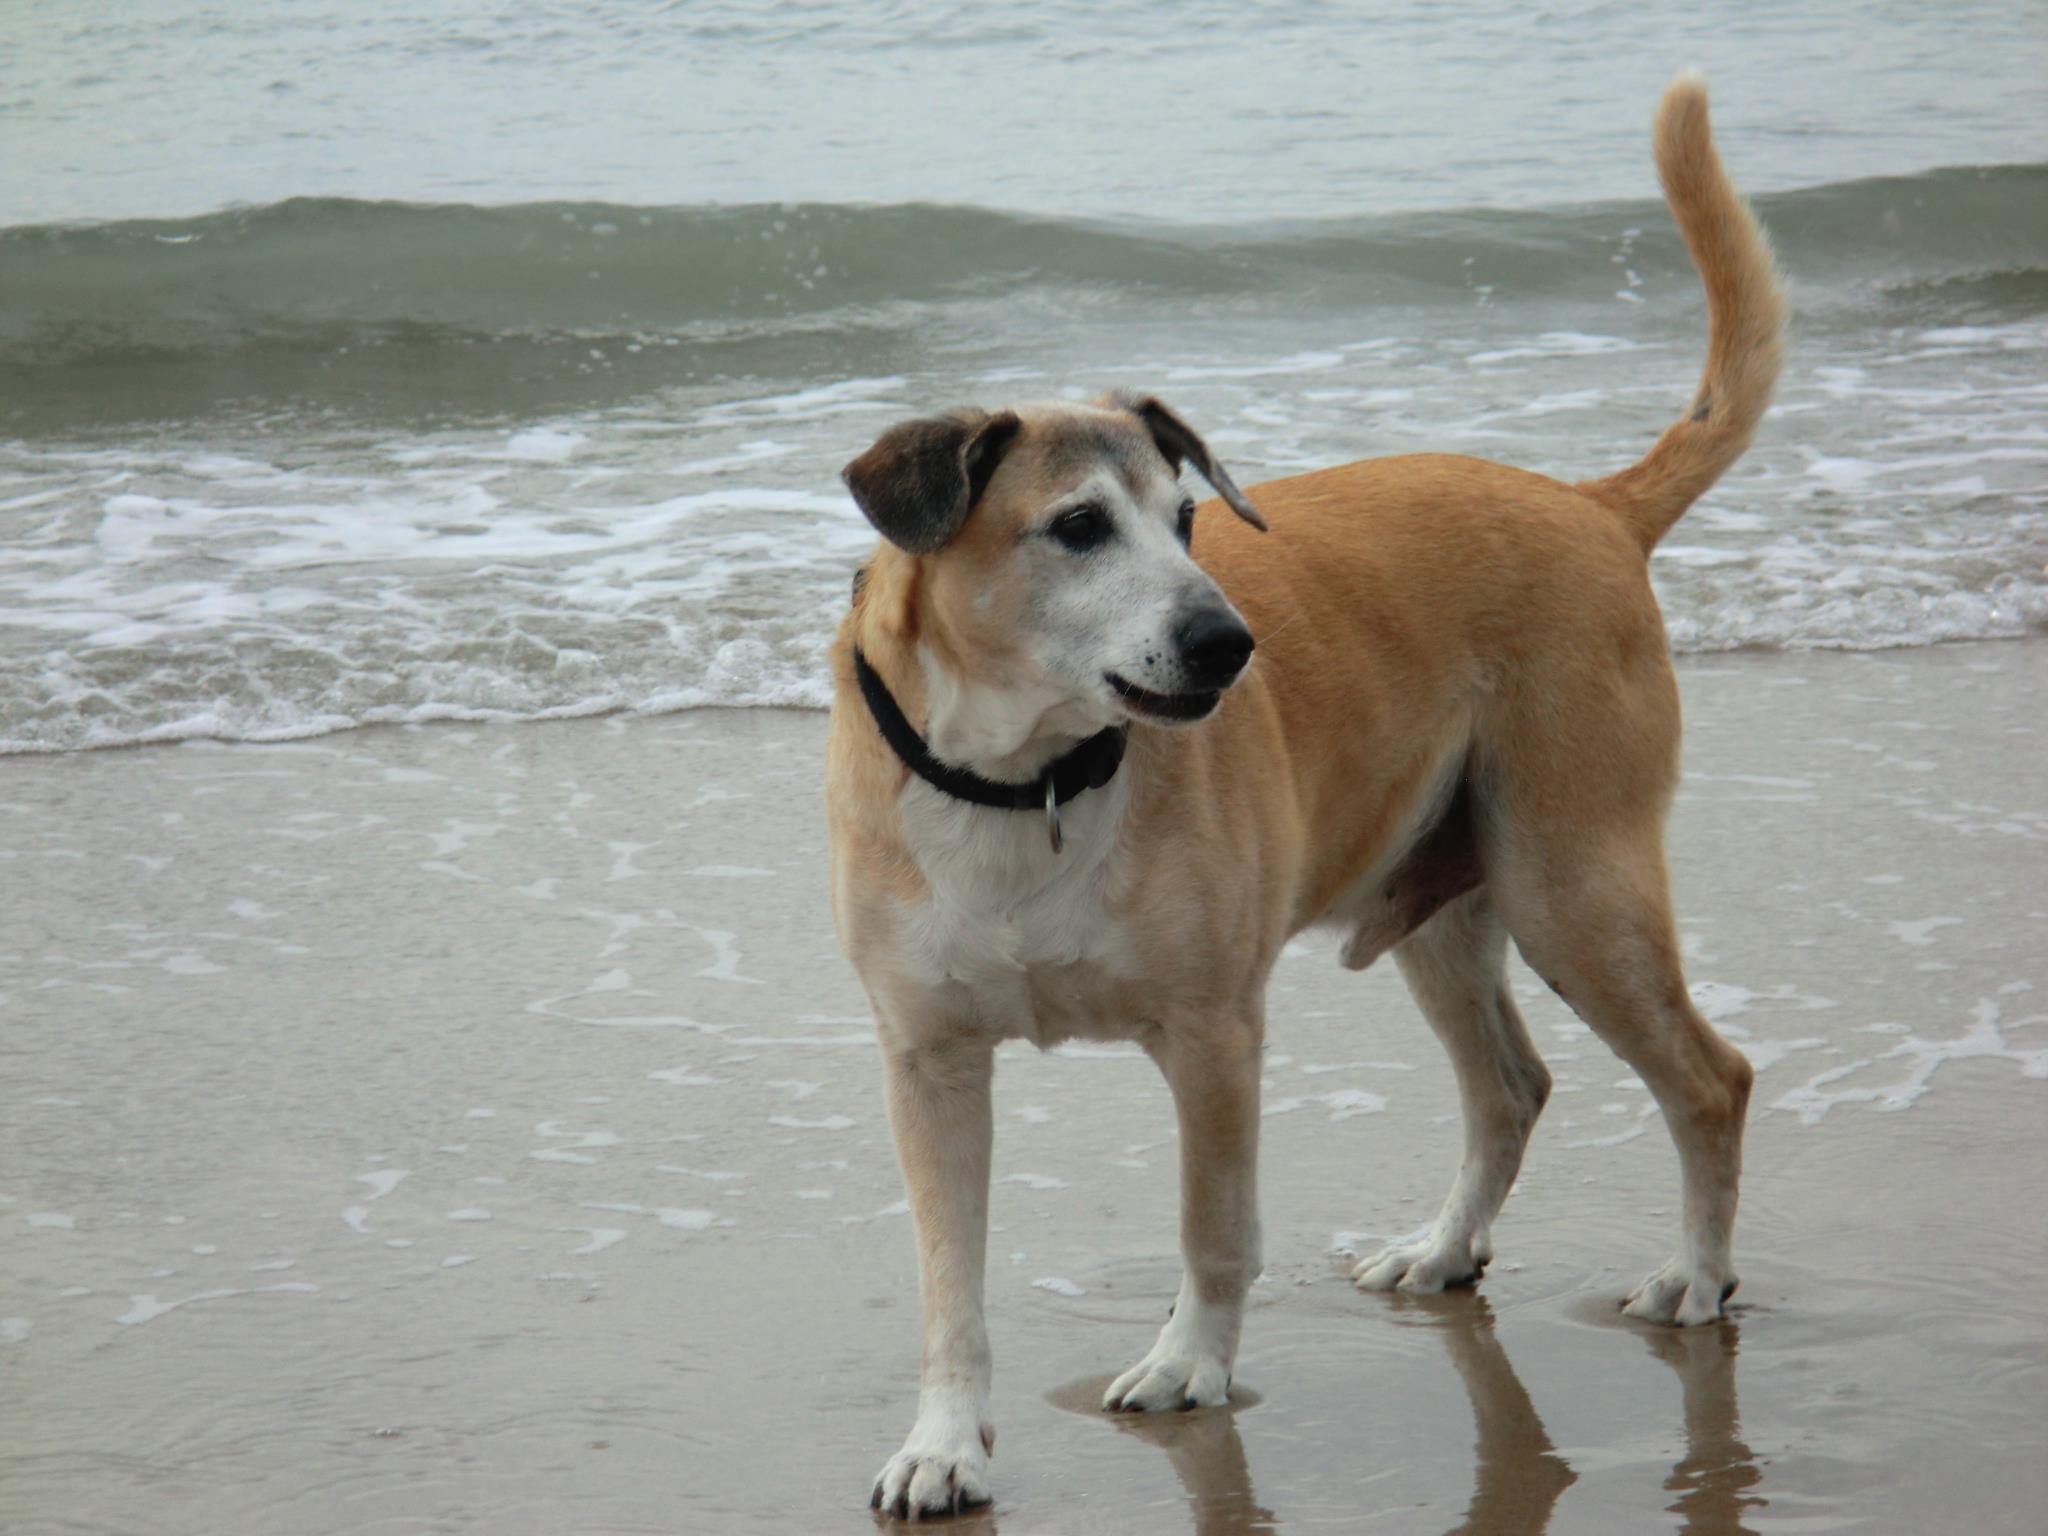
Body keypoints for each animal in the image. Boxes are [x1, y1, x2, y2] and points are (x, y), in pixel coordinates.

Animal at [823, 69, 1785, 1515]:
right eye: (1077, 528)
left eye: (1187, 520)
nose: (1228, 645)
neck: (1025, 777)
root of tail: (1589, 506)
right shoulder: (927, 1059)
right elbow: (951, 1284)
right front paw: (943, 1443)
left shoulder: (1213, 1034)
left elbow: (1213, 1227)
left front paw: (1189, 1366)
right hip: (1449, 901)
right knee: (1510, 1087)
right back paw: (1442, 1248)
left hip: (1573, 884)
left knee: (1709, 1078)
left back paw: (1693, 1275)